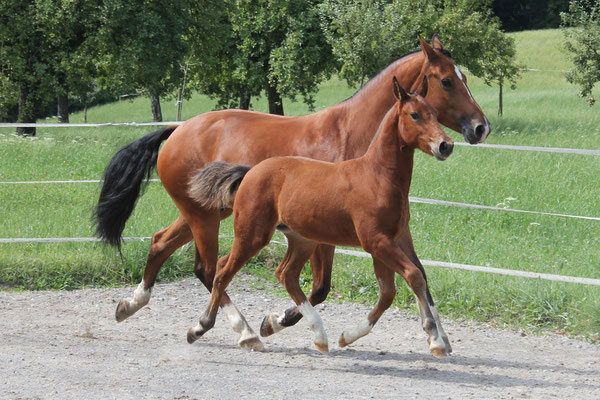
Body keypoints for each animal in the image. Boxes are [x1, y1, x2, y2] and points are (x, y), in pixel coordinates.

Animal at [92, 36, 488, 350]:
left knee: (162, 243)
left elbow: (415, 275)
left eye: (463, 79)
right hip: (207, 218)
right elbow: (321, 288)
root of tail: (176, 130)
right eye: (447, 81)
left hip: (202, 213)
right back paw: (243, 331)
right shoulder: (330, 235)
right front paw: (275, 323)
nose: (480, 127)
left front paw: (440, 335)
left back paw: (130, 304)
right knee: (209, 268)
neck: (352, 137)